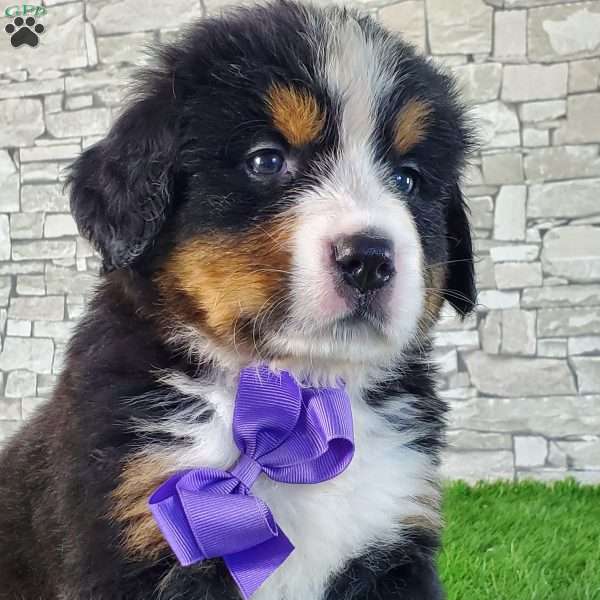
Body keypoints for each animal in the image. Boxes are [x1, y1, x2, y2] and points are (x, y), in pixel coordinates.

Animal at [1, 2, 478, 596]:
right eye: (266, 161)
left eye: (408, 179)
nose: (369, 258)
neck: (299, 405)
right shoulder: (133, 523)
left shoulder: (395, 534)